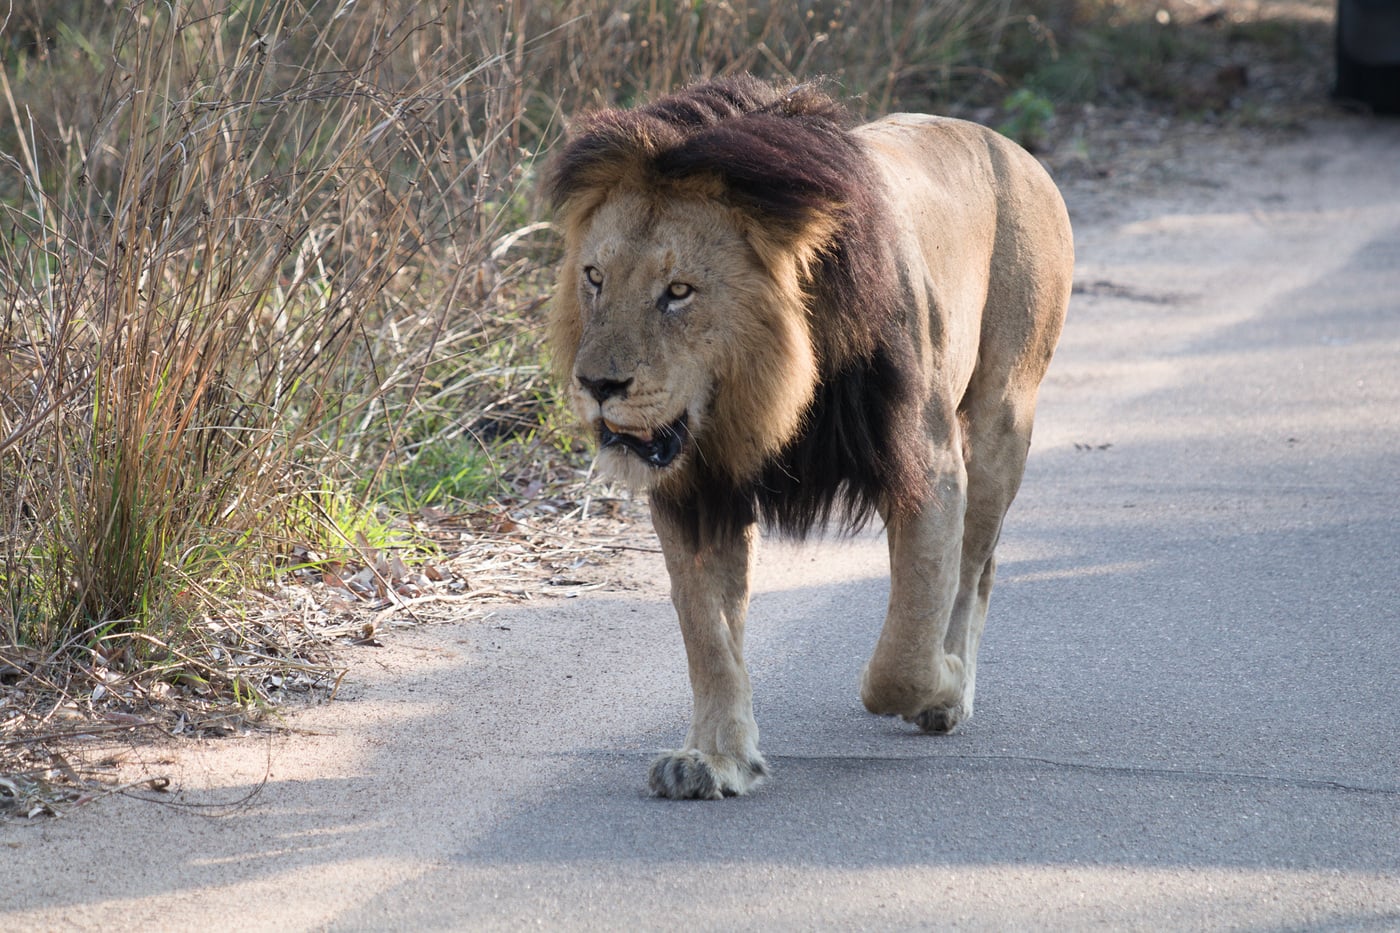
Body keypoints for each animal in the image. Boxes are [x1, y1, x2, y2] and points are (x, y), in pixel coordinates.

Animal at [545, 76, 1072, 799]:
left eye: (678, 291)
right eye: (594, 277)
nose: (597, 384)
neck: (771, 391)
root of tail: (1009, 145)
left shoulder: (930, 468)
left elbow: (903, 651)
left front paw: (936, 682)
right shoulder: (698, 486)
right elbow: (709, 636)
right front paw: (714, 758)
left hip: (1002, 419)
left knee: (974, 567)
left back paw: (953, 689)